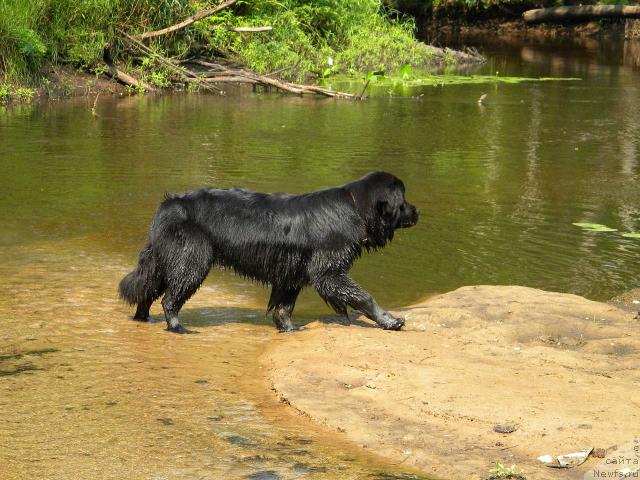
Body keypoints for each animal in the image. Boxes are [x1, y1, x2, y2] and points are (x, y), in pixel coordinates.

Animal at [119, 172, 420, 334]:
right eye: (403, 201)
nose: (417, 212)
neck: (356, 208)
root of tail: (168, 205)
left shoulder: (291, 273)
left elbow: (283, 307)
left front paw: (289, 329)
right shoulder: (328, 271)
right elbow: (362, 295)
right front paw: (390, 320)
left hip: (165, 259)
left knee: (146, 289)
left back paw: (143, 318)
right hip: (191, 260)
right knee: (170, 298)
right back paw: (177, 327)